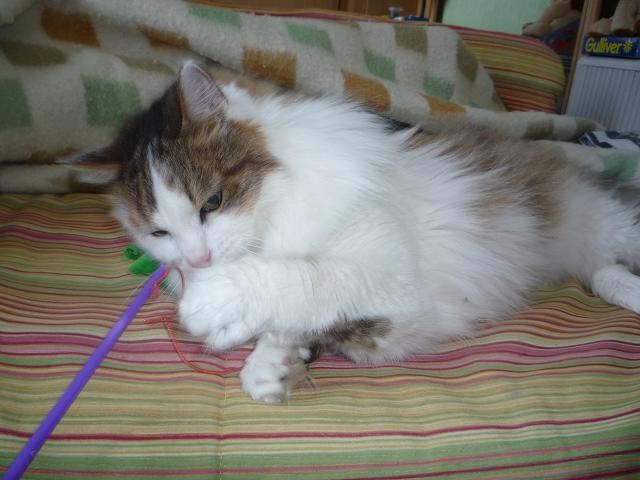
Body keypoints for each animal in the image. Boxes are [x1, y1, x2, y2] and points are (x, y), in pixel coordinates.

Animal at [69, 62, 640, 403]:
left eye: (212, 203)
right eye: (159, 232)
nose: (199, 261)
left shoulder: (390, 278)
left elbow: (303, 278)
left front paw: (221, 303)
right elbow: (310, 322)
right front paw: (272, 364)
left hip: (611, 224)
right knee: (604, 275)